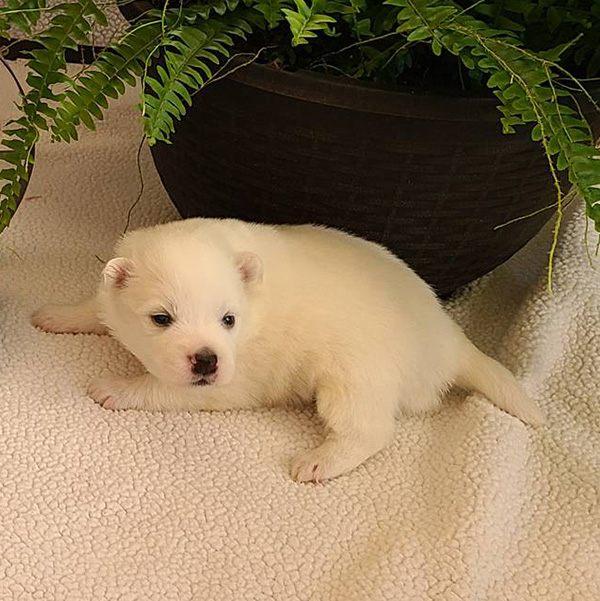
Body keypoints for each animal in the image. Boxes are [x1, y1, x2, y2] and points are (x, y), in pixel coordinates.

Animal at [34, 218, 548, 480]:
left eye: (229, 319)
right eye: (161, 318)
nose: (207, 359)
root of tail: (450, 340)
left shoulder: (230, 383)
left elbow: (162, 388)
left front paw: (116, 388)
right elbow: (97, 308)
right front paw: (57, 314)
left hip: (355, 379)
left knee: (371, 430)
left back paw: (318, 461)